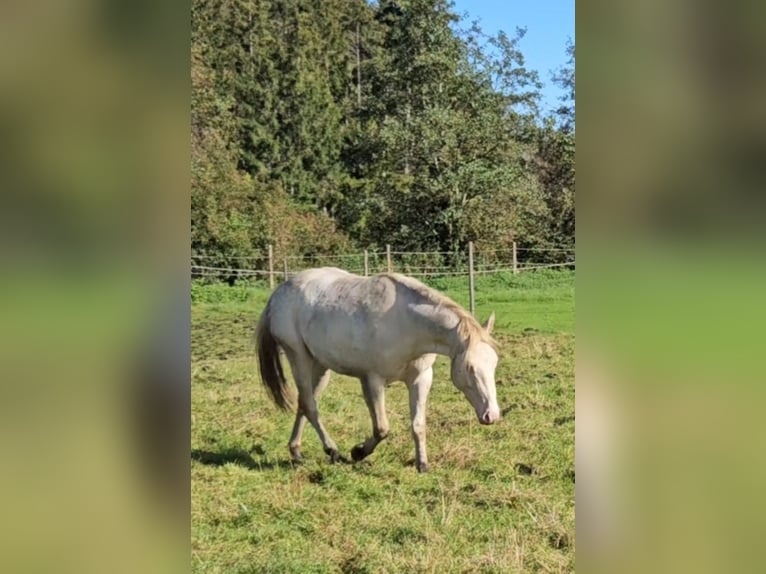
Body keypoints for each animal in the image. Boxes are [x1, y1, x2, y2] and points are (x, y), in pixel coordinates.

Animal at [255, 266, 500, 472]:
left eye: (494, 363)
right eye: (469, 367)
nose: (492, 415)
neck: (408, 323)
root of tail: (278, 293)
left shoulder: (421, 378)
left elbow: (418, 424)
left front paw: (422, 465)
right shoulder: (372, 381)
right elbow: (382, 428)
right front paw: (358, 452)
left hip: (320, 366)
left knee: (304, 403)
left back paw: (296, 451)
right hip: (299, 359)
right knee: (310, 406)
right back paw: (333, 451)